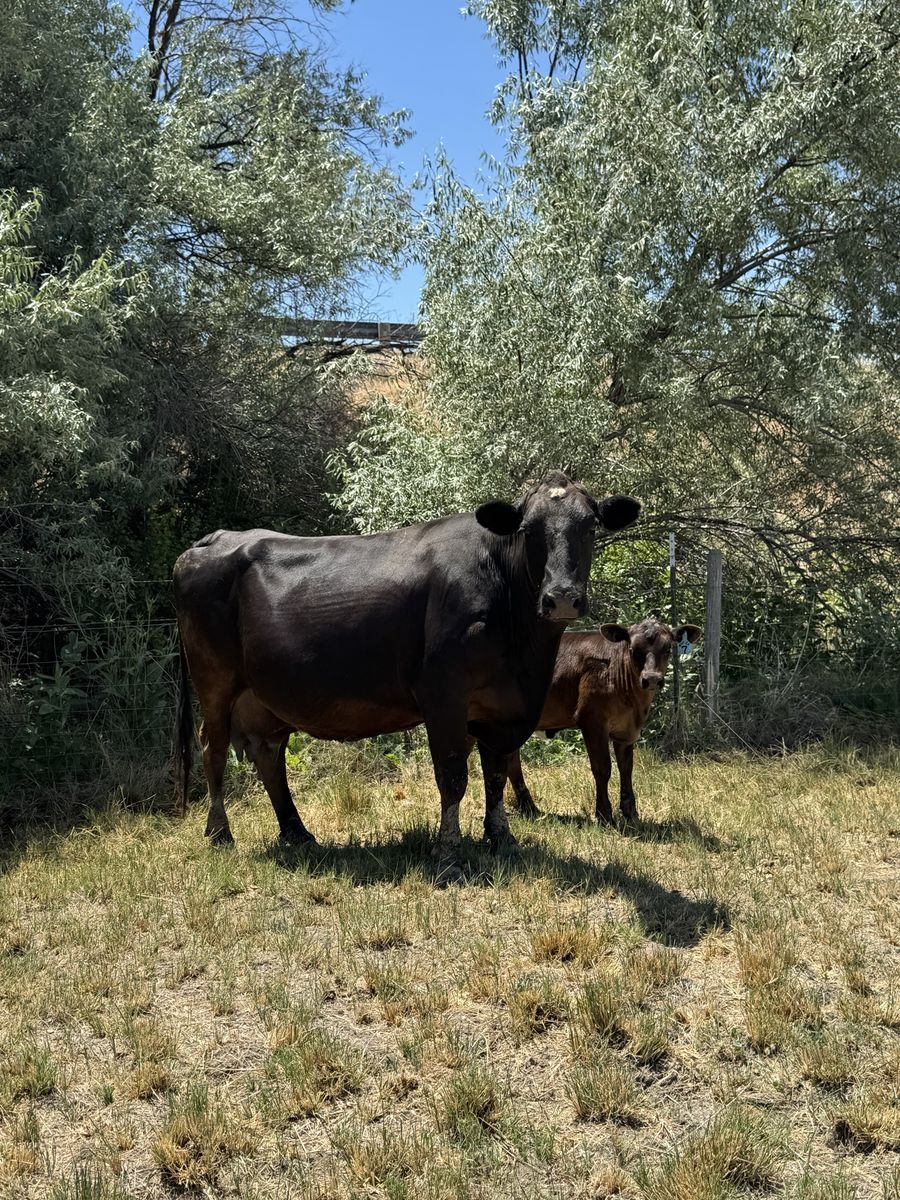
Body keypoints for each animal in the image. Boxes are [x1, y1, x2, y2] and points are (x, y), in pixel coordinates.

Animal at [172, 473, 640, 878]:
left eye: (591, 527)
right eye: (528, 530)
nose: (561, 597)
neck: (525, 655)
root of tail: (213, 539)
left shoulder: (503, 706)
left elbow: (496, 773)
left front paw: (501, 839)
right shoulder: (443, 694)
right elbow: (453, 776)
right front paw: (448, 855)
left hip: (262, 695)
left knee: (269, 754)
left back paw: (297, 832)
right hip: (213, 679)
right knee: (213, 747)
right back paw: (220, 833)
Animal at [505, 618, 702, 824]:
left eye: (668, 649)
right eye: (632, 649)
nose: (652, 679)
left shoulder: (626, 730)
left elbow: (626, 768)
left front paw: (631, 812)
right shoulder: (592, 720)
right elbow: (602, 768)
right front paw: (604, 814)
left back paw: (529, 808)